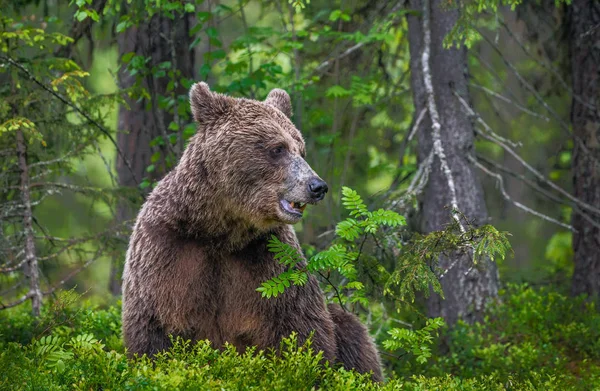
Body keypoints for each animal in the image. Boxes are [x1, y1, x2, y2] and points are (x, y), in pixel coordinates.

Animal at [122, 82, 384, 382]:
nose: (317, 186)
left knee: (352, 331)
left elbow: (301, 329)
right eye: (278, 148)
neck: (223, 230)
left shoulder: (268, 259)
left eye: (301, 148)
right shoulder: (167, 250)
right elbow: (155, 328)